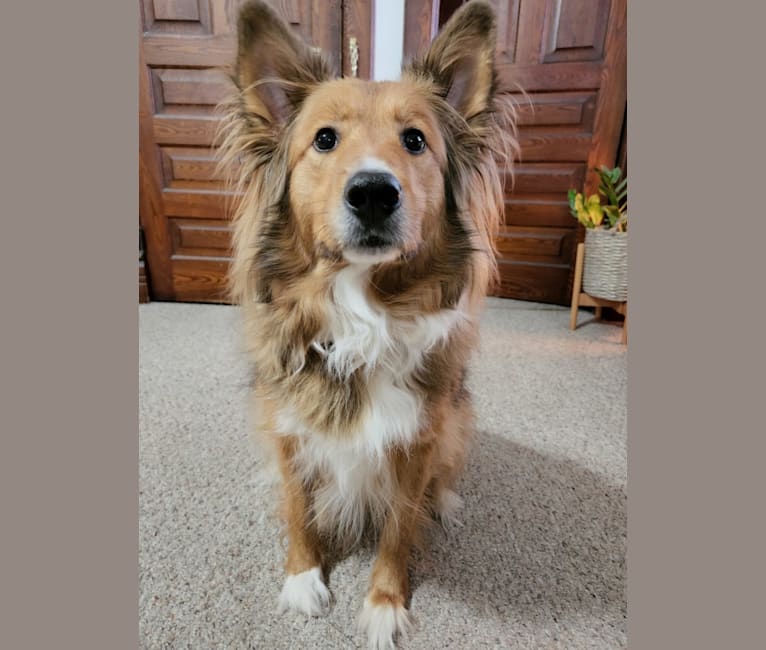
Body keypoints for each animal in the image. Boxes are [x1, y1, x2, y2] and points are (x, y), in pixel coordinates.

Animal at [219, 2, 520, 644]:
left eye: (415, 140)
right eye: (324, 139)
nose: (374, 192)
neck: (362, 318)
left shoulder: (418, 439)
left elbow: (398, 530)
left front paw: (384, 604)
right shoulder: (288, 429)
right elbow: (299, 512)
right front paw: (303, 580)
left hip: (457, 417)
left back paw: (444, 502)